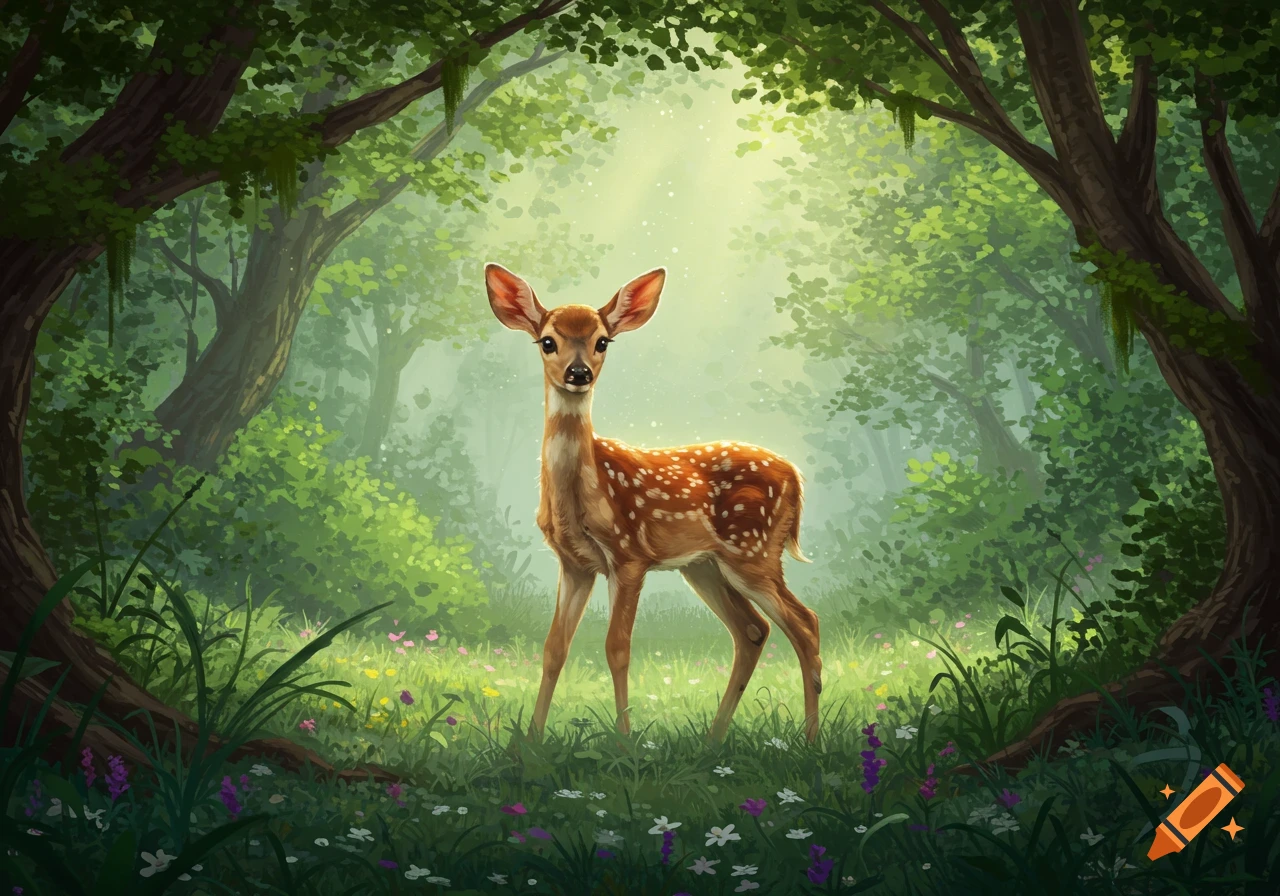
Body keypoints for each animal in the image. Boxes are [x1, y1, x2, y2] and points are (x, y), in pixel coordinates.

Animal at [484, 263, 823, 744]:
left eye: (602, 341)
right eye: (547, 340)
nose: (578, 373)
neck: (580, 499)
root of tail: (795, 476)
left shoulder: (629, 556)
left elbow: (617, 648)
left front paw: (625, 743)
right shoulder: (574, 563)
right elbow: (554, 648)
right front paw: (529, 744)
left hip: (753, 551)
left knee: (805, 623)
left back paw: (811, 742)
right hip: (704, 565)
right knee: (753, 630)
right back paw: (713, 740)